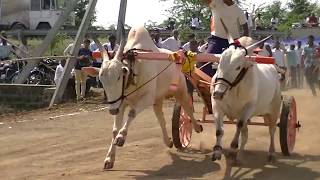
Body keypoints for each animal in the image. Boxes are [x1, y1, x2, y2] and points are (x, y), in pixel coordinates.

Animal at [84, 26, 201, 169]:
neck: (134, 69)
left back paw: (196, 127)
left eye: (119, 76)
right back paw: (168, 141)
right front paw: (109, 159)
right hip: (157, 100)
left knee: (187, 108)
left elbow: (132, 113)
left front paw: (121, 137)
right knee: (161, 119)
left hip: (180, 91)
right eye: (101, 79)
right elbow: (114, 130)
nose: (112, 110)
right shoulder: (120, 103)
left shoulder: (146, 99)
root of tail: (178, 56)